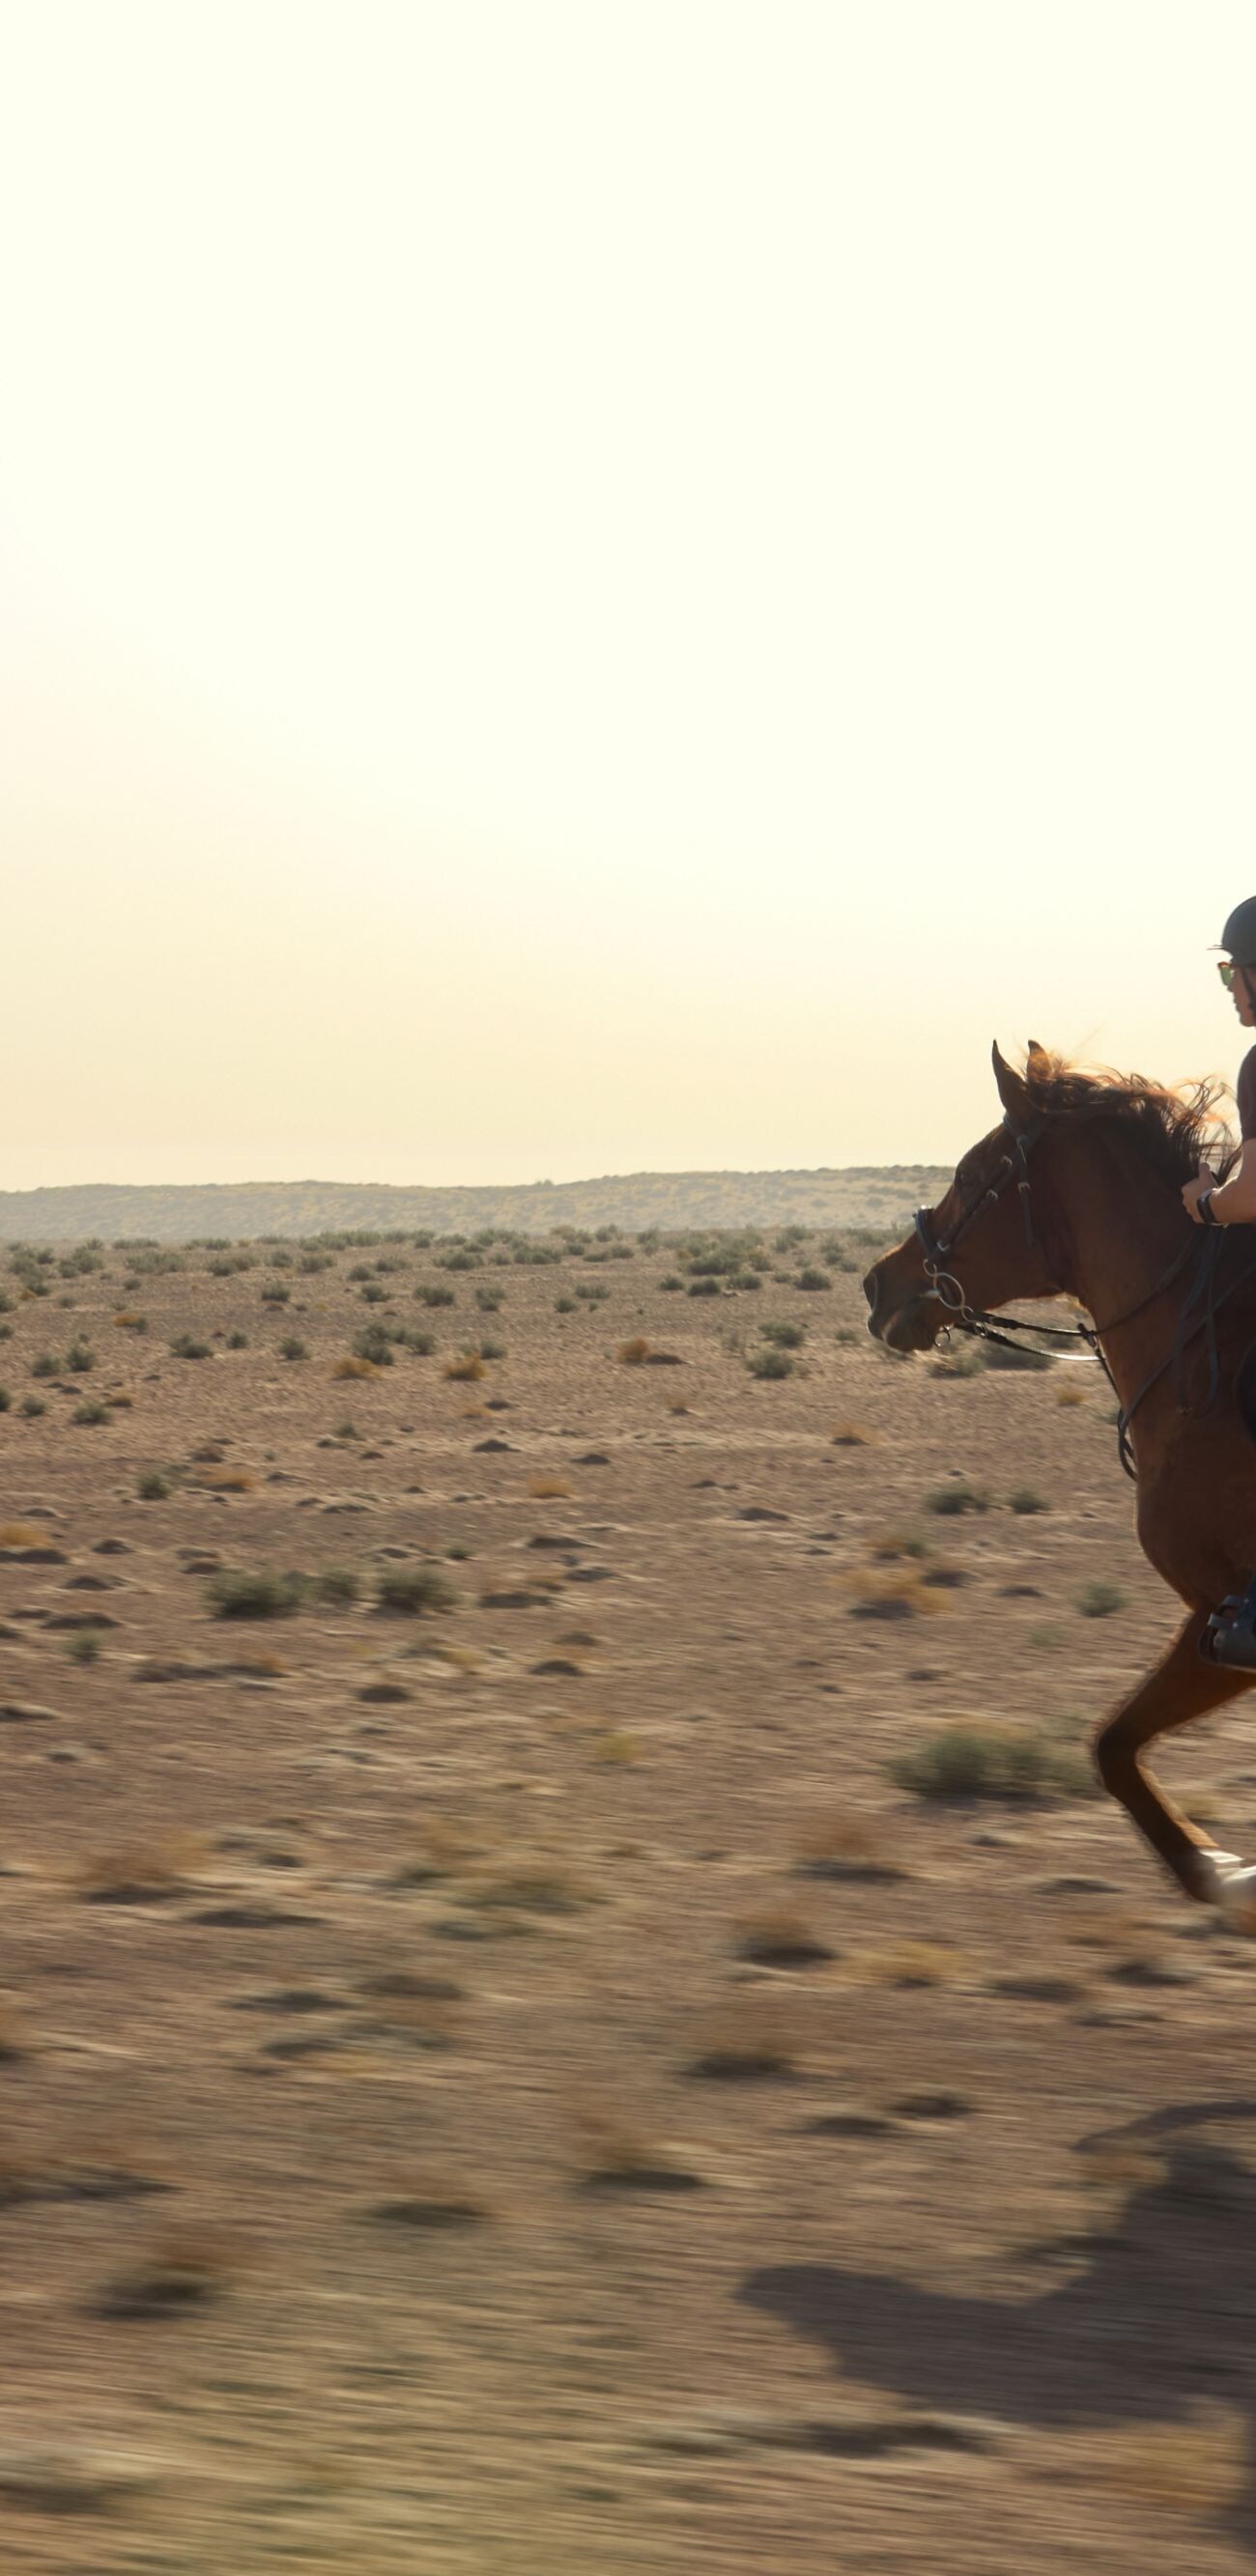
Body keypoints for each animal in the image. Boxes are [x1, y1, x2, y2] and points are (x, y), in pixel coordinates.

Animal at [863, 1041, 1256, 1929]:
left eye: (972, 1175)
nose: (878, 1285)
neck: (1201, 1367)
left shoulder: (1226, 1623)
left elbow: (1112, 1747)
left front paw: (1219, 1872)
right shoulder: (1212, 1623)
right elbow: (1112, 1745)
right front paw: (1221, 1867)